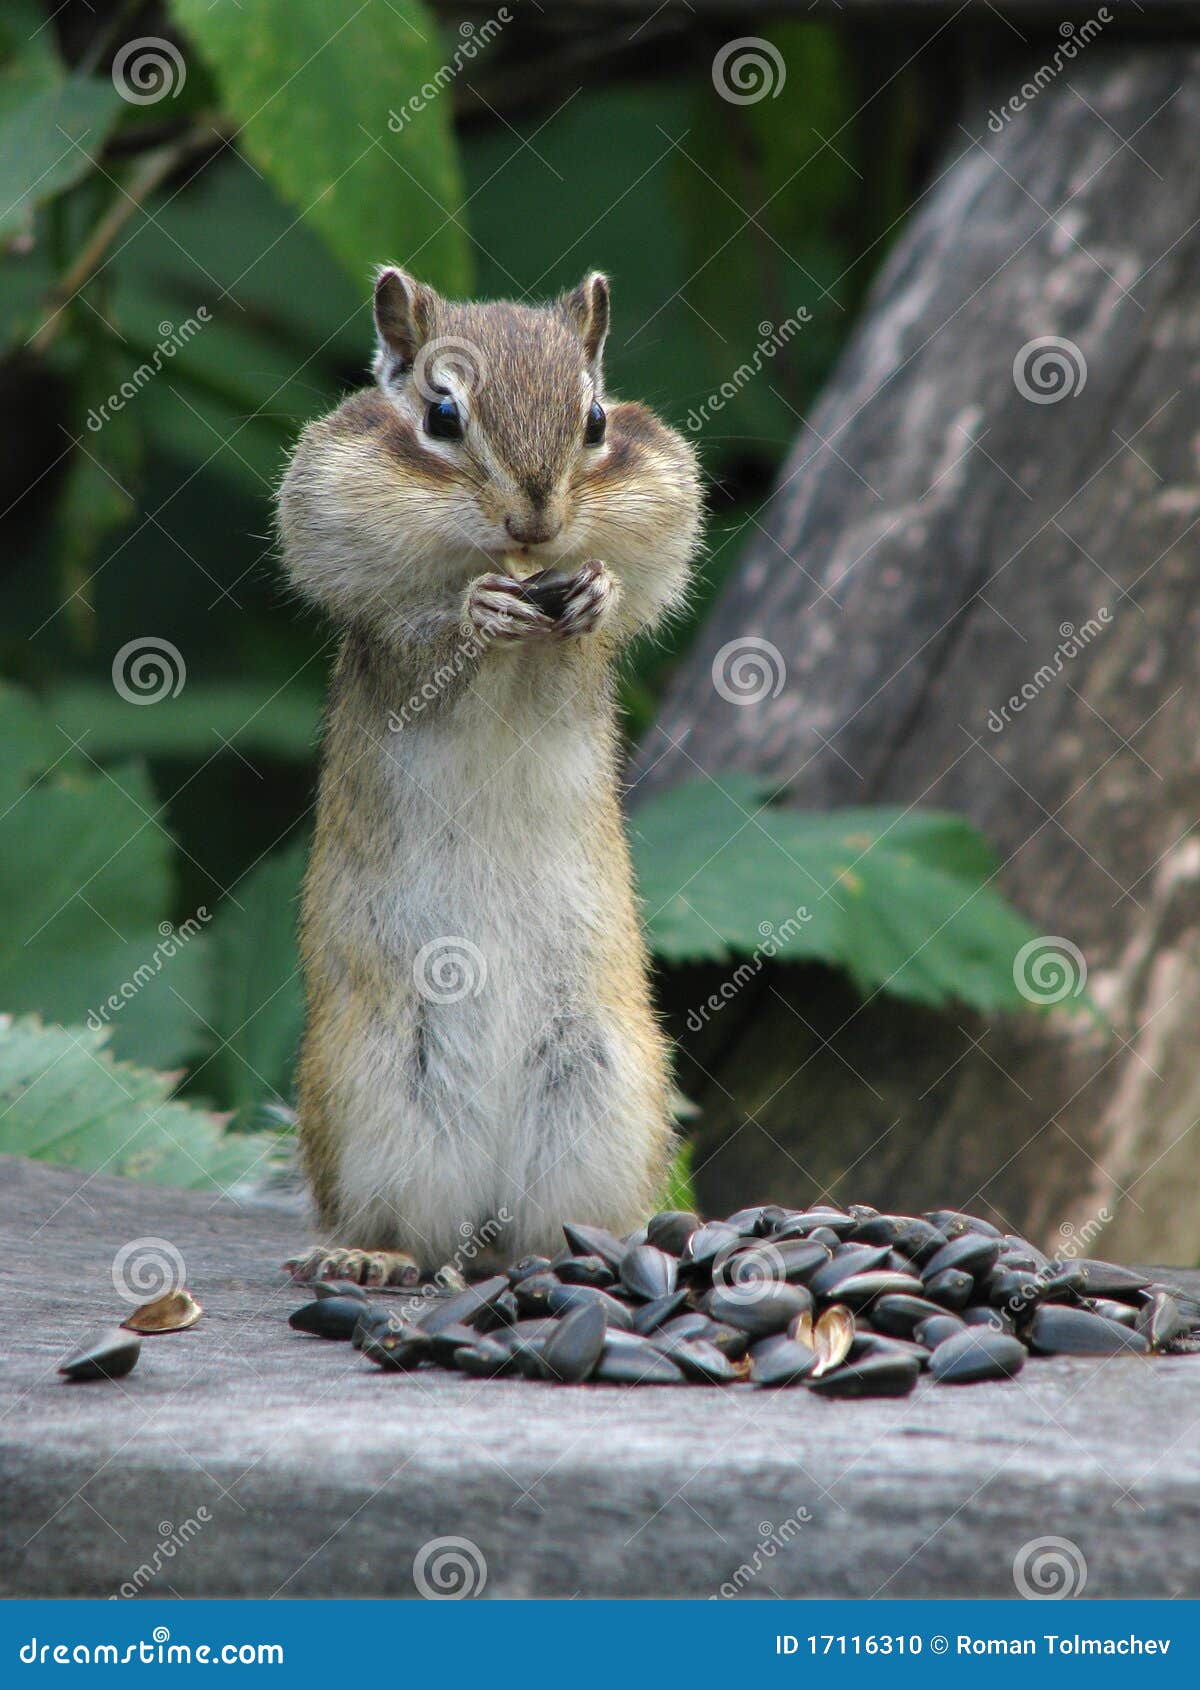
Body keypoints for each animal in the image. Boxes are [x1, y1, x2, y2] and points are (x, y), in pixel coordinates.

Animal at [277, 267, 702, 1285]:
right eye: (441, 415)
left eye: (595, 419)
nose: (536, 523)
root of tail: (487, 1227)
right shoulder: (388, 637)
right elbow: (429, 645)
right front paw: (477, 611)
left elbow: (581, 653)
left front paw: (595, 597)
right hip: (375, 1091)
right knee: (401, 1224)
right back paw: (370, 1257)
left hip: (607, 1087)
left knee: (557, 1227)